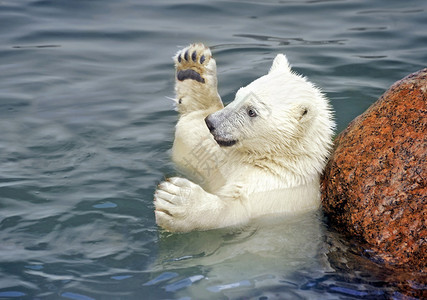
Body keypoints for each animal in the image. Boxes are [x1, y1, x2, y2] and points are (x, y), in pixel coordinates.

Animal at [154, 43, 334, 233]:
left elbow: (235, 210)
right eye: (238, 95)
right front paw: (192, 65)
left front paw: (180, 201)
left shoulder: (273, 192)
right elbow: (192, 138)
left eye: (251, 111)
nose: (211, 123)